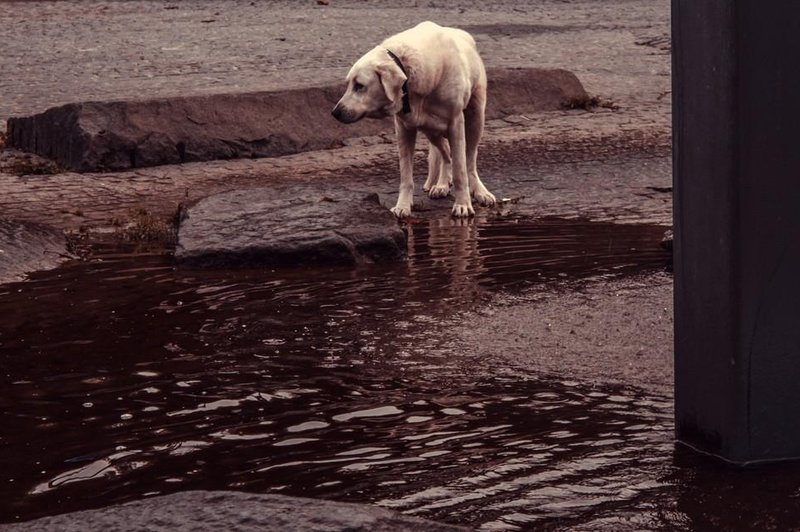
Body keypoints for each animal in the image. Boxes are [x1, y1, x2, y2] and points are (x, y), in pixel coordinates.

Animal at [330, 20, 494, 216]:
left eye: (359, 86)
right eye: (348, 84)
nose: (335, 112)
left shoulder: (456, 123)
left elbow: (460, 171)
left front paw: (462, 204)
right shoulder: (404, 128)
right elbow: (406, 176)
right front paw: (403, 206)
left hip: (475, 119)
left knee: (469, 161)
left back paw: (480, 191)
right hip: (430, 128)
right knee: (446, 153)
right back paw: (441, 184)